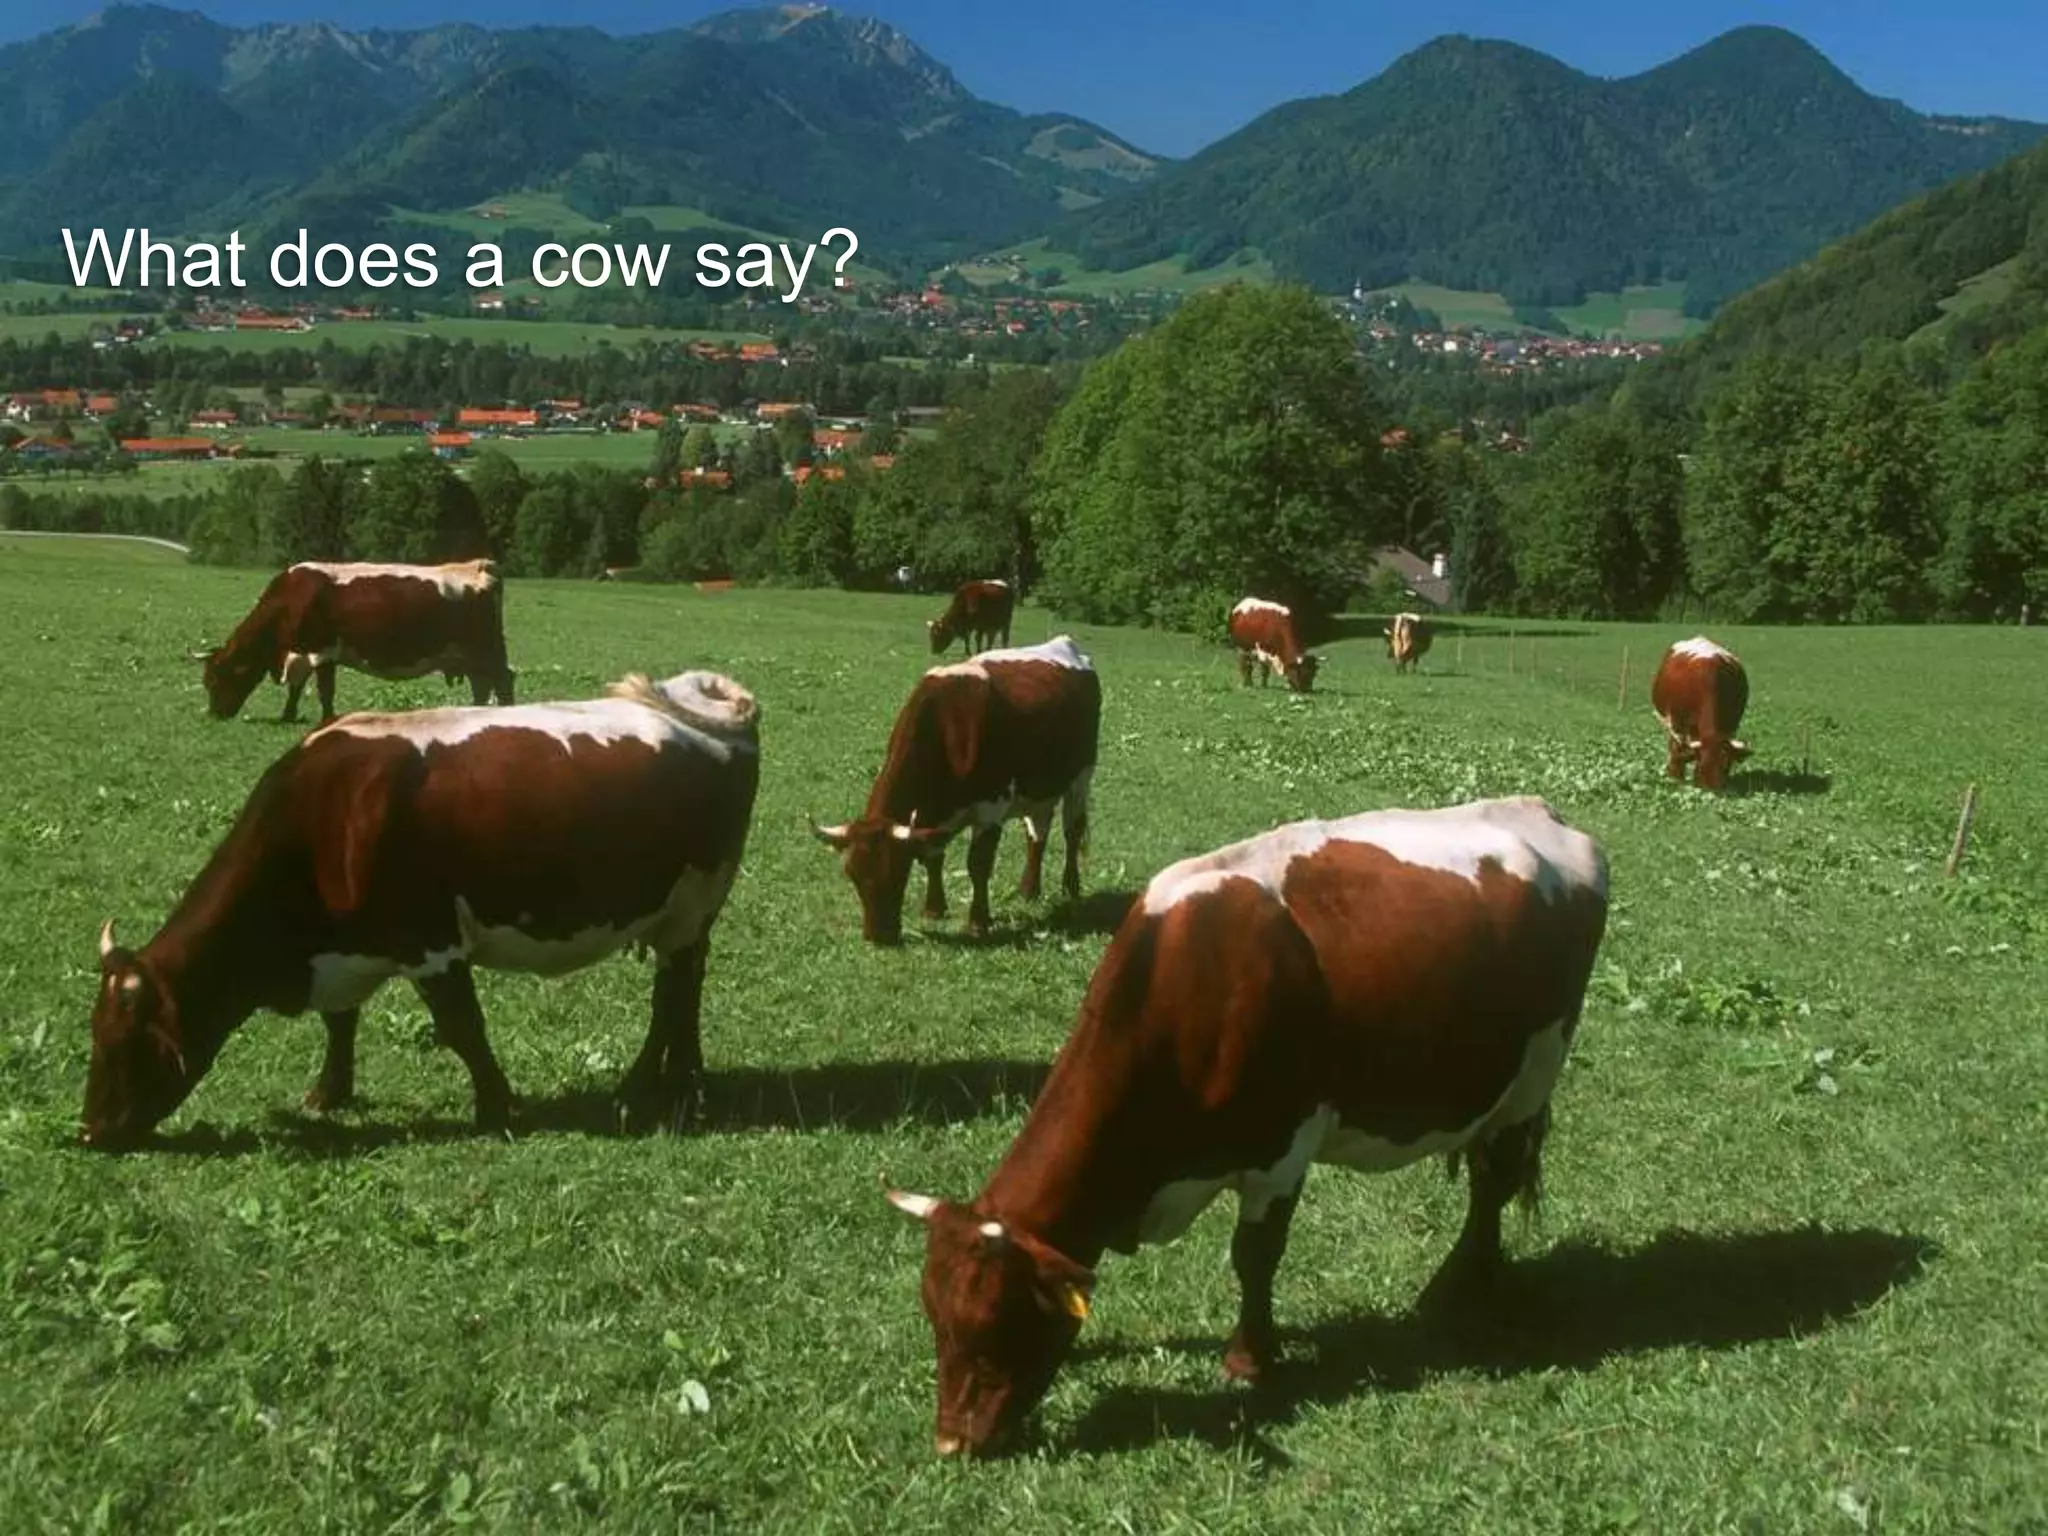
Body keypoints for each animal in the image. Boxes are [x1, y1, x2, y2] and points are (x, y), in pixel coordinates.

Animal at [80, 670, 762, 1152]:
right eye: (95, 1031)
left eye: (126, 1040)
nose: (89, 1131)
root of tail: (710, 701)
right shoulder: (348, 948)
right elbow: (341, 1021)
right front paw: (329, 1092)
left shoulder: (431, 942)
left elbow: (463, 1027)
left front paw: (498, 1108)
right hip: (682, 915)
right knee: (683, 987)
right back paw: (681, 1082)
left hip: (692, 902)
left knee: (673, 992)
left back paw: (642, 1088)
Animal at [195, 561, 515, 725]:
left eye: (214, 681)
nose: (214, 715)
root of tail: (479, 565)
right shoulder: (320, 655)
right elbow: (311, 689)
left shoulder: (315, 651)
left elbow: (314, 689)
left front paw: (306, 716)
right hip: (469, 657)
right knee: (481, 686)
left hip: (486, 650)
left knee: (503, 679)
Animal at [811, 636, 1099, 945]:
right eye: (852, 873)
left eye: (898, 872)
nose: (878, 935)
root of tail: (1064, 643)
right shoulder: (932, 816)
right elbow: (934, 858)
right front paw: (934, 909)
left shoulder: (990, 808)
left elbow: (978, 865)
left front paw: (978, 922)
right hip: (1039, 789)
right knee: (1037, 833)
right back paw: (1028, 890)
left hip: (1081, 778)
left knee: (1072, 832)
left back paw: (1071, 888)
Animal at [885, 795, 1610, 1457]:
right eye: (935, 1316)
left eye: (996, 1323)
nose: (952, 1441)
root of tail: (1540, 815)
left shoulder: (1281, 1152)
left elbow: (1254, 1256)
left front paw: (1251, 1359)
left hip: (1533, 1075)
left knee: (1494, 1181)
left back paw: (1463, 1286)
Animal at [1651, 636, 1751, 790]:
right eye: (1703, 765)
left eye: (1724, 765)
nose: (1713, 789)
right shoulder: (1677, 721)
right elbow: (1677, 750)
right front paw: (1677, 776)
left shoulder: (1732, 725)